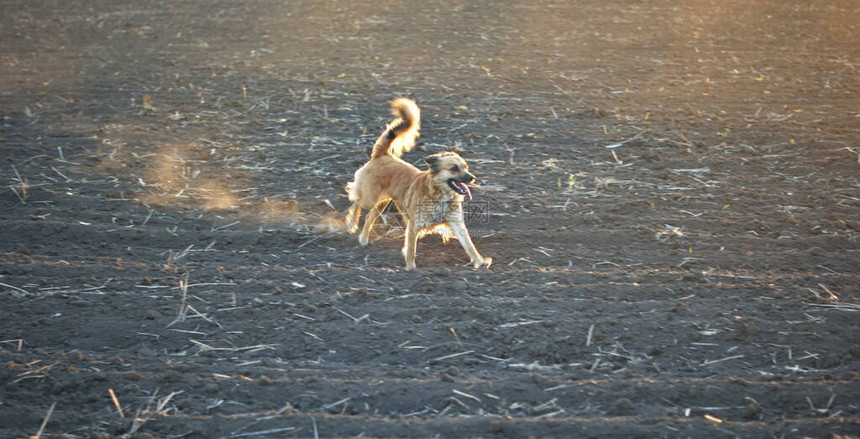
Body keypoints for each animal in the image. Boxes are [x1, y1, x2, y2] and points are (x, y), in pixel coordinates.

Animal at [342, 99, 490, 272]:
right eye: (454, 168)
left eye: (466, 167)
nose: (472, 178)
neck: (438, 195)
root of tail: (383, 155)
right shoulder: (413, 226)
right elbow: (411, 249)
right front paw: (411, 268)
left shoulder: (456, 223)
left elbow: (469, 246)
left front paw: (480, 261)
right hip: (370, 198)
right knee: (356, 202)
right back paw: (351, 224)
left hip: (383, 202)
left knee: (369, 217)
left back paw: (364, 239)